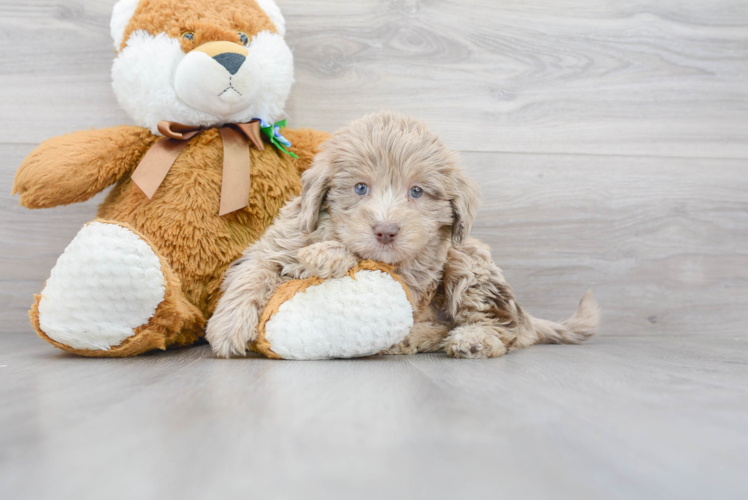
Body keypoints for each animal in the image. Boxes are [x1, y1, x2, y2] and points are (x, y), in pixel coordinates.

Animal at [206, 111, 600, 358]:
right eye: (360, 188)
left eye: (417, 192)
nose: (386, 230)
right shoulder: (277, 242)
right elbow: (252, 274)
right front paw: (228, 328)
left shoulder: (415, 275)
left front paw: (325, 256)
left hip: (469, 264)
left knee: (502, 328)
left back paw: (463, 339)